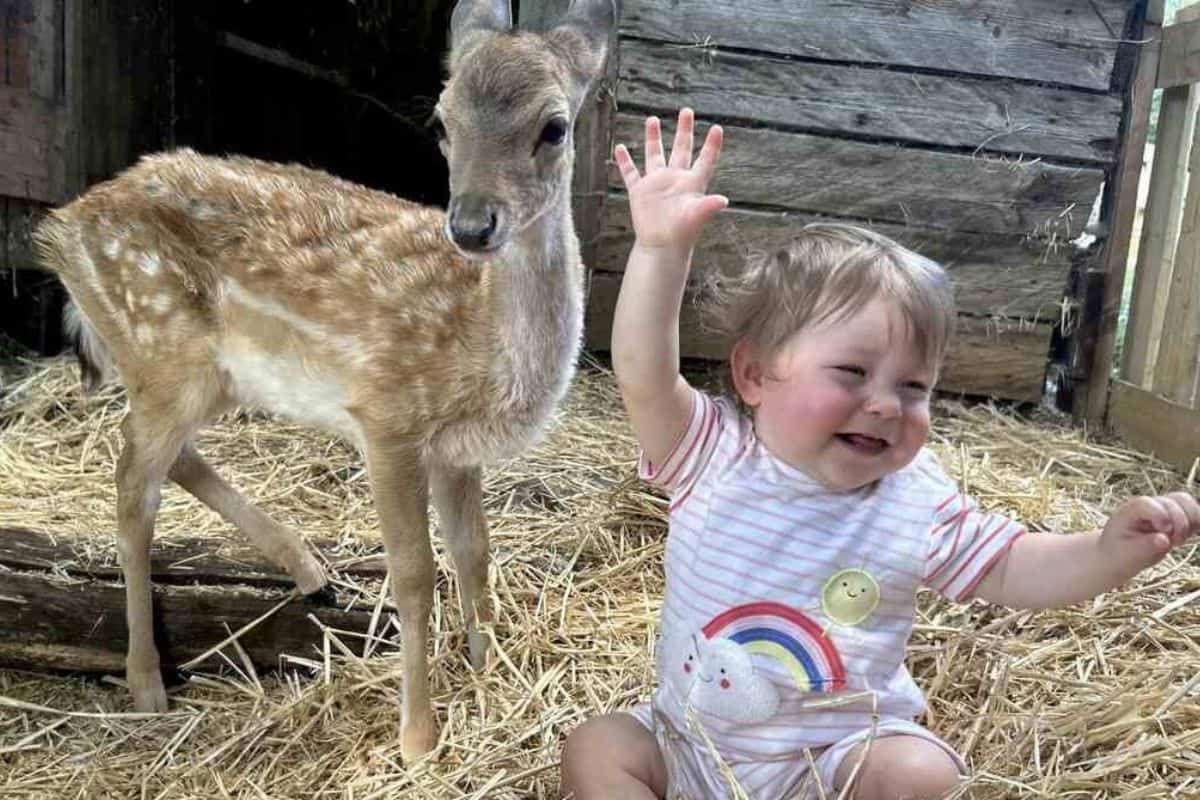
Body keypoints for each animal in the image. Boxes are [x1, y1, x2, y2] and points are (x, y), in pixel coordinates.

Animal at [32, 0, 614, 758]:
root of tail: (58, 228)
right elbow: (415, 573)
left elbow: (475, 554)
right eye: (441, 121)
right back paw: (147, 684)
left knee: (167, 457)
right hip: (161, 346)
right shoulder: (387, 416)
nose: (471, 225)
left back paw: (310, 570)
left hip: (204, 375)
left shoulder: (458, 452)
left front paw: (490, 670)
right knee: (133, 484)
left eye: (555, 126)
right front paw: (418, 738)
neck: (480, 342)